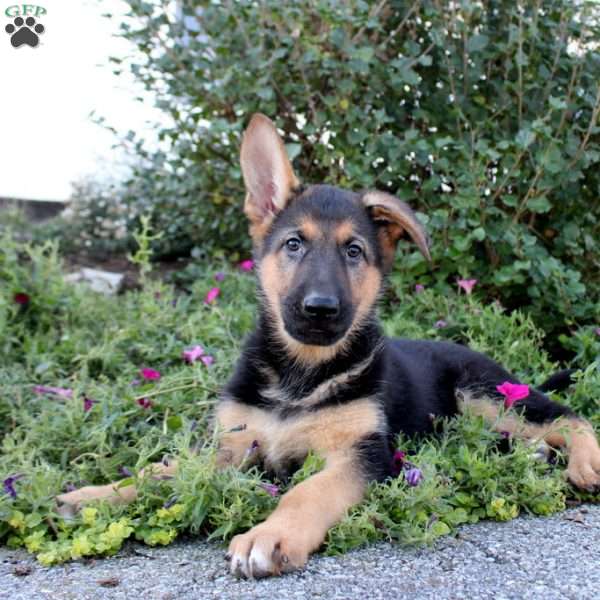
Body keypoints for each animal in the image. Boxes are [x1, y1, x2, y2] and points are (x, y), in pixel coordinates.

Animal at [58, 112, 600, 576]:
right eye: (293, 244)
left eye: (354, 251)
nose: (320, 308)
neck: (302, 372)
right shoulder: (229, 446)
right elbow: (159, 470)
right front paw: (93, 495)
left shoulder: (361, 455)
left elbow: (307, 491)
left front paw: (270, 536)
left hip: (487, 397)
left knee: (568, 417)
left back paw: (585, 461)